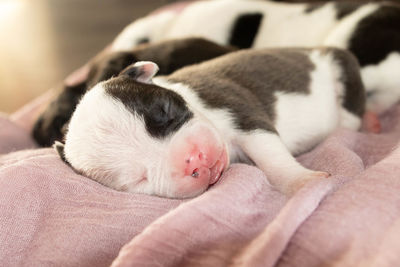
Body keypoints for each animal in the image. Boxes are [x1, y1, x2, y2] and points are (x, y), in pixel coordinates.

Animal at [57, 47, 368, 199]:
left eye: (166, 111)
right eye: (138, 178)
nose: (194, 159)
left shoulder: (240, 112)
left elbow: (272, 156)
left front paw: (302, 182)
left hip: (341, 67)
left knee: (350, 114)